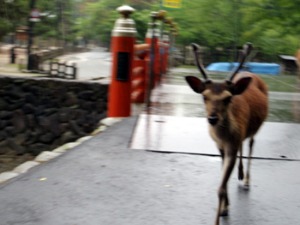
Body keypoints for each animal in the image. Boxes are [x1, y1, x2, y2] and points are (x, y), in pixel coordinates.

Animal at [186, 42, 268, 225]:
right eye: (204, 96)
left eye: (228, 98)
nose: (212, 118)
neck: (224, 136)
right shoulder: (220, 146)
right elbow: (223, 181)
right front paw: (225, 208)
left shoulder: (231, 145)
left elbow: (221, 187)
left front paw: (220, 215)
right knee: (243, 144)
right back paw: (240, 174)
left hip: (255, 128)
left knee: (251, 143)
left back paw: (246, 180)